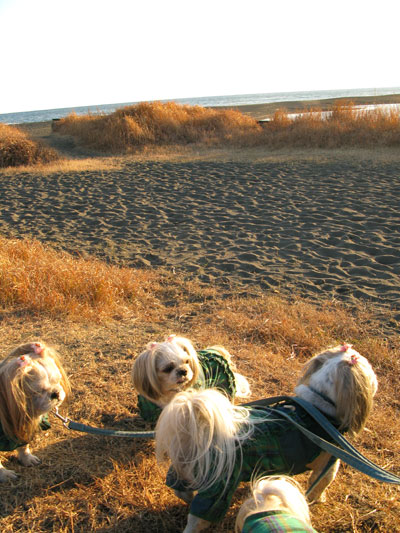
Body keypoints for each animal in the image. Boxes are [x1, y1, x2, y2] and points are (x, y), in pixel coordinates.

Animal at [0, 340, 70, 482]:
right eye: (37, 391)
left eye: (57, 380)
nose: (56, 393)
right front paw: (4, 474)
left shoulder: (21, 428)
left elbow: (23, 447)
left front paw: (27, 459)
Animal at [155, 342, 378, 528]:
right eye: (371, 372)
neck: (317, 407)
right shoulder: (329, 466)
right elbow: (319, 486)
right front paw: (318, 499)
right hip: (218, 487)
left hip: (183, 470)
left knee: (180, 489)